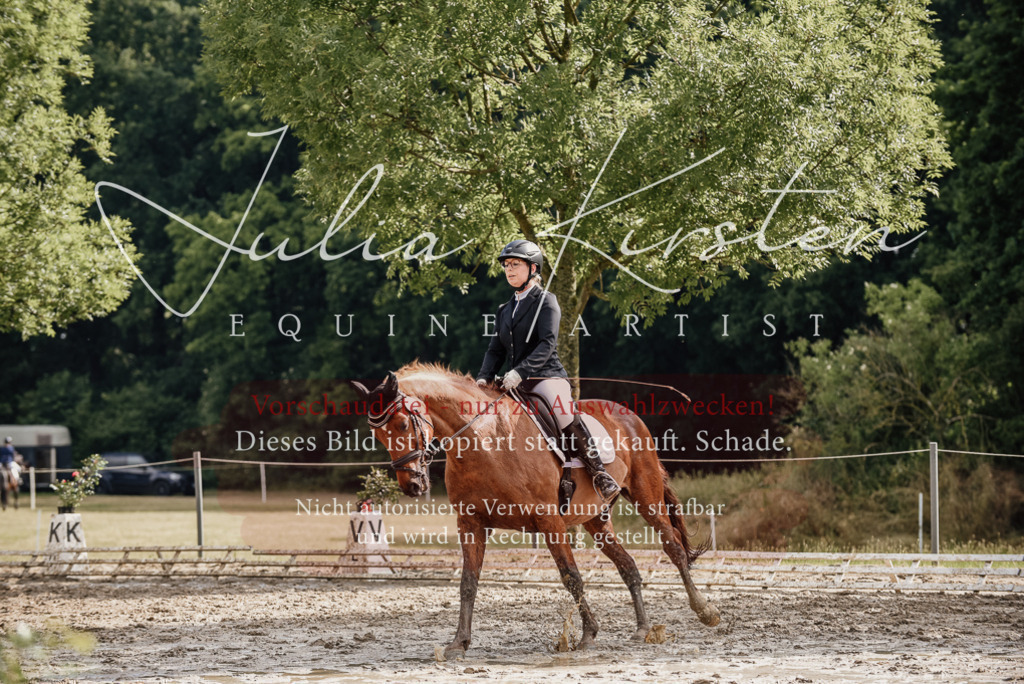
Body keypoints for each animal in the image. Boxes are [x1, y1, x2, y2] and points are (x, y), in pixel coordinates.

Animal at [350, 363, 720, 657]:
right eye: (377, 435)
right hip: (596, 519)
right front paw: (459, 643)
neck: (484, 438)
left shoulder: (549, 519)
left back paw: (705, 611)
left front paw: (587, 634)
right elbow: (468, 582)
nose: (412, 485)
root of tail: (627, 413)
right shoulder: (471, 522)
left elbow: (572, 577)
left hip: (646, 496)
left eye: (401, 425)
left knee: (673, 546)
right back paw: (643, 628)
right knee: (628, 565)